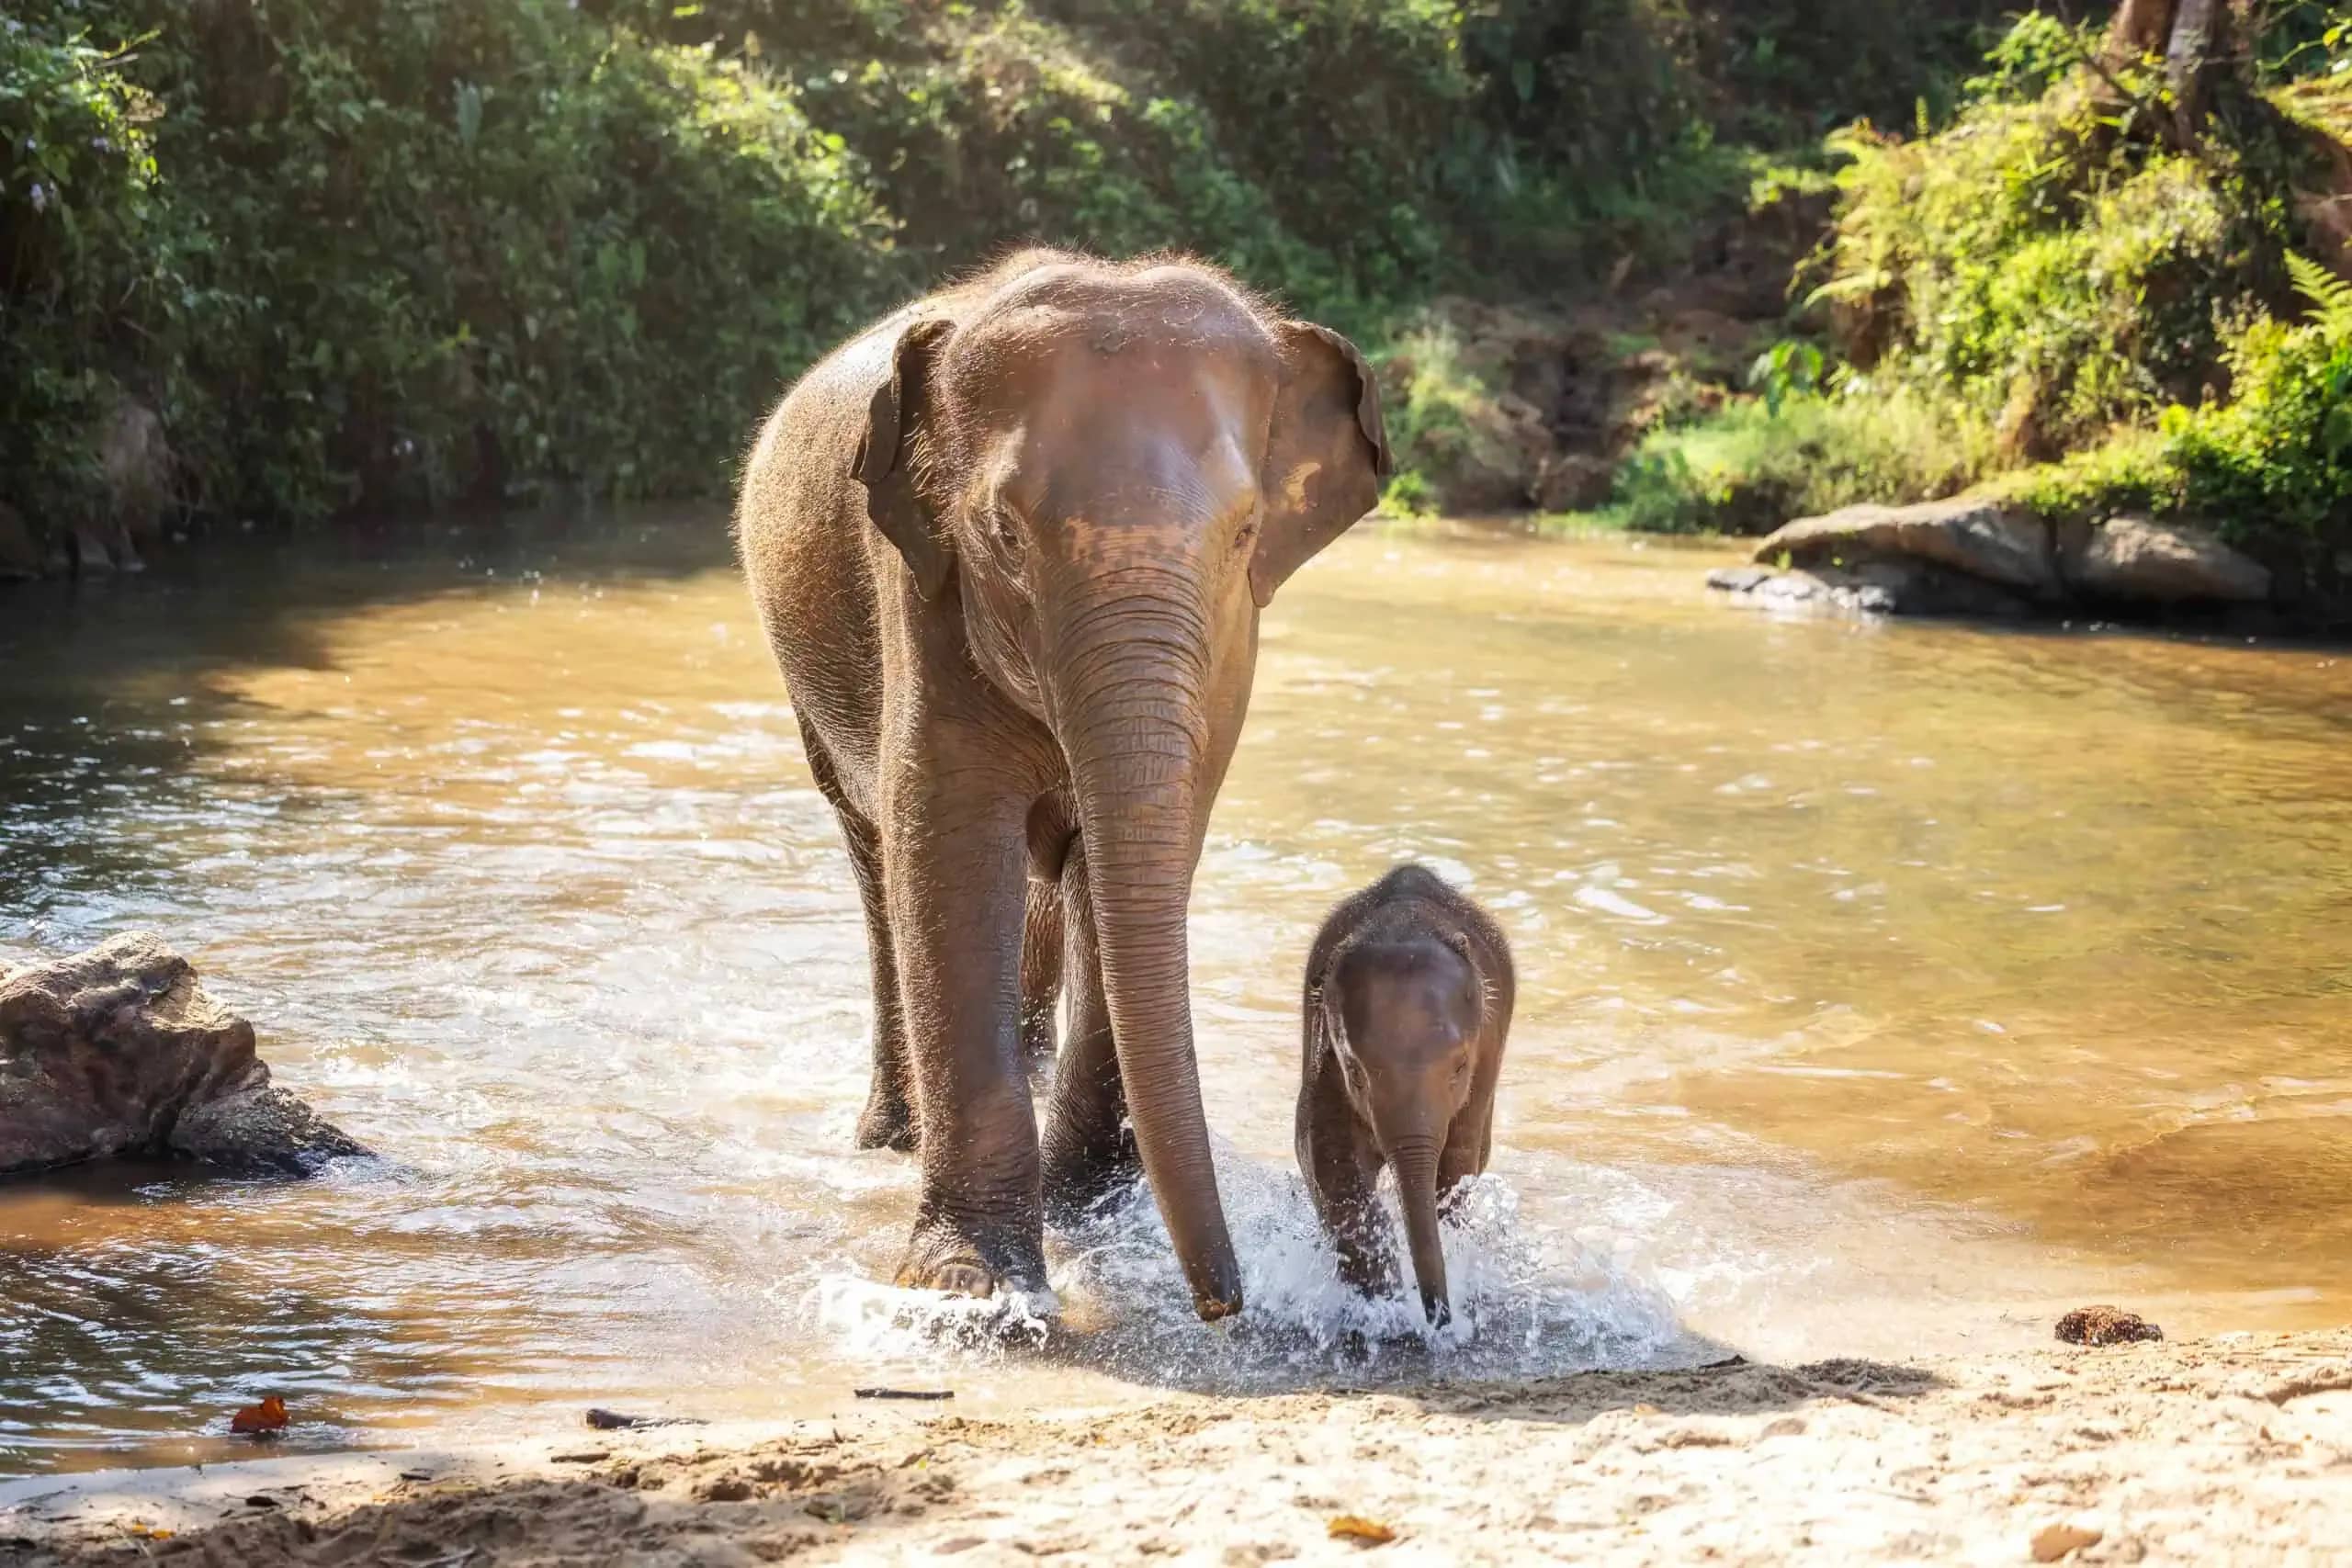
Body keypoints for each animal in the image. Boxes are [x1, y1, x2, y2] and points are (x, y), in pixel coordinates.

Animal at [735, 249, 1390, 1321]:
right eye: (1004, 532)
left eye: (1246, 530)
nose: (1225, 1302)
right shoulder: (924, 591)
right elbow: (953, 853)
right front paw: (970, 1291)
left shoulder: (1230, 649)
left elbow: (1140, 850)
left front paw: (1087, 1203)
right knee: (877, 860)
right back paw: (890, 1136)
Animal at [1296, 864, 1515, 1328]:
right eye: (1355, 1073)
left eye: (1460, 1068)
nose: (1439, 1318)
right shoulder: (1323, 1058)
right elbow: (1325, 1157)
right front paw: (1382, 1301)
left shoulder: (1486, 1058)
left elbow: (1457, 1164)